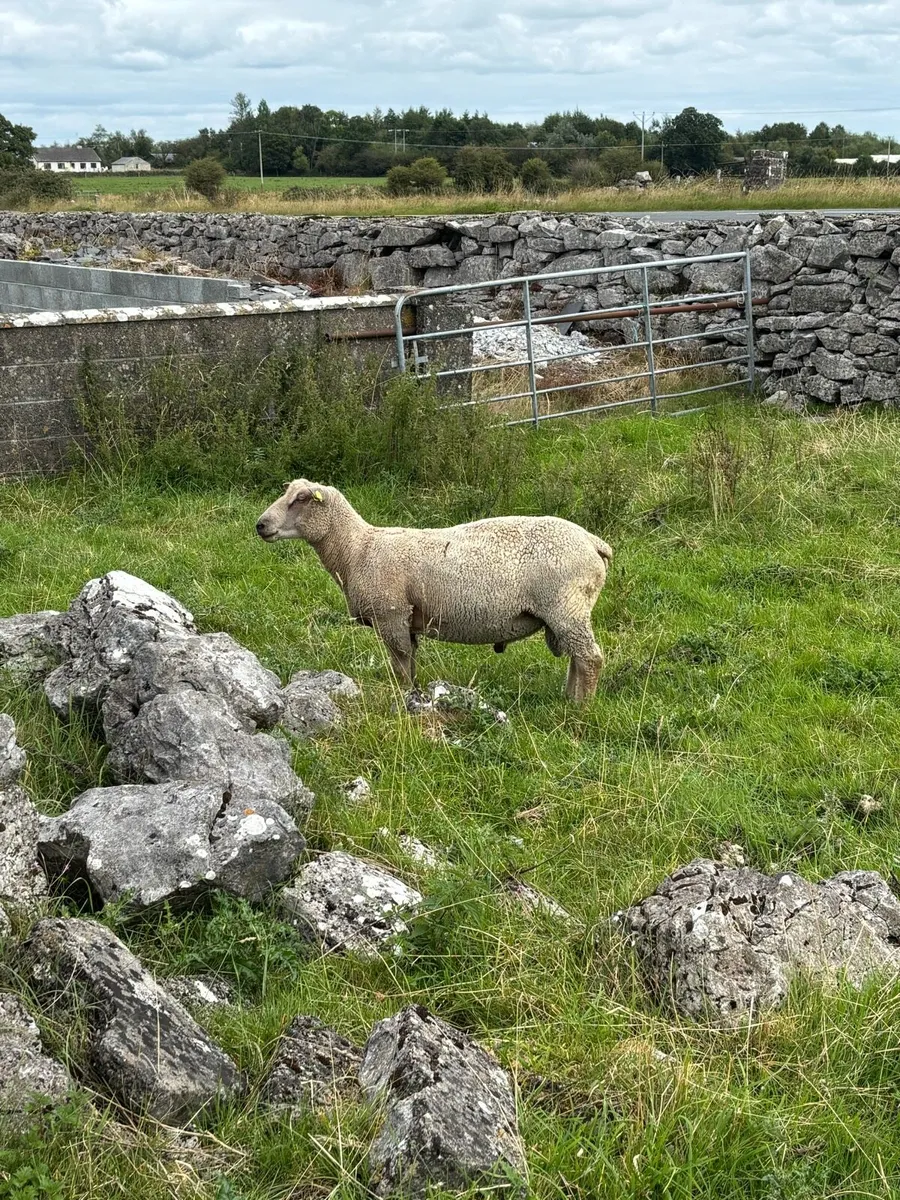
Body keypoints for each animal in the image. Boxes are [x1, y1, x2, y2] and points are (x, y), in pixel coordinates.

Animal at [256, 480, 613, 702]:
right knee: (578, 658)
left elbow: (401, 667)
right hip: (568, 612)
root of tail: (594, 542)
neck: (357, 549)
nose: (260, 525)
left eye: (301, 499)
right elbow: (410, 664)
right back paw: (569, 699)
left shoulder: (391, 615)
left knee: (590, 658)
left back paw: (580, 708)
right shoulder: (408, 620)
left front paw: (405, 699)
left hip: (566, 606)